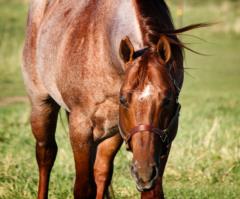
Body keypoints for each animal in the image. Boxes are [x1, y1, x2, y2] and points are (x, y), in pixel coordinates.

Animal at [21, 0, 207, 198]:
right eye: (123, 100)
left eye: (168, 100)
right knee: (46, 154)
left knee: (101, 171)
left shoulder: (161, 136)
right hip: (41, 104)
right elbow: (82, 188)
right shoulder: (81, 129)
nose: (144, 172)